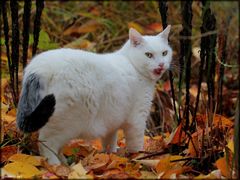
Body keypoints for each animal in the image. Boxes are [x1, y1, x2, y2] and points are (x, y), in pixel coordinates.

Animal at [16, 25, 172, 165]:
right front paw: (138, 159)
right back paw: (56, 166)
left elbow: (109, 143)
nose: (161, 64)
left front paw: (110, 157)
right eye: (148, 55)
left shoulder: (112, 122)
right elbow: (136, 145)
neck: (132, 64)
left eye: (164, 53)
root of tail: (39, 68)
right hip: (66, 123)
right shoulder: (137, 118)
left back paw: (65, 163)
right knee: (46, 144)